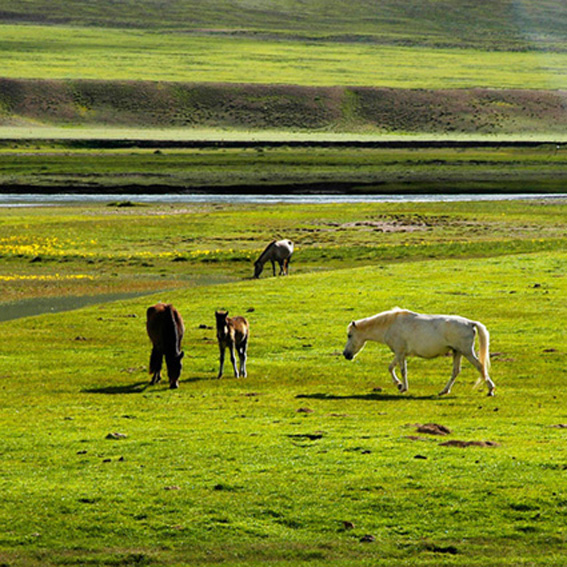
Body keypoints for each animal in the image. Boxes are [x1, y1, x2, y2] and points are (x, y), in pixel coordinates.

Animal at [344, 308, 494, 398]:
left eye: (349, 335)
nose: (346, 354)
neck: (389, 325)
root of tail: (470, 323)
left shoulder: (399, 352)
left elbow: (400, 370)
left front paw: (402, 387)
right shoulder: (401, 353)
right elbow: (393, 368)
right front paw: (400, 385)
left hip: (466, 352)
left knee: (480, 366)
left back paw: (490, 390)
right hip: (457, 352)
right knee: (456, 371)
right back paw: (444, 391)